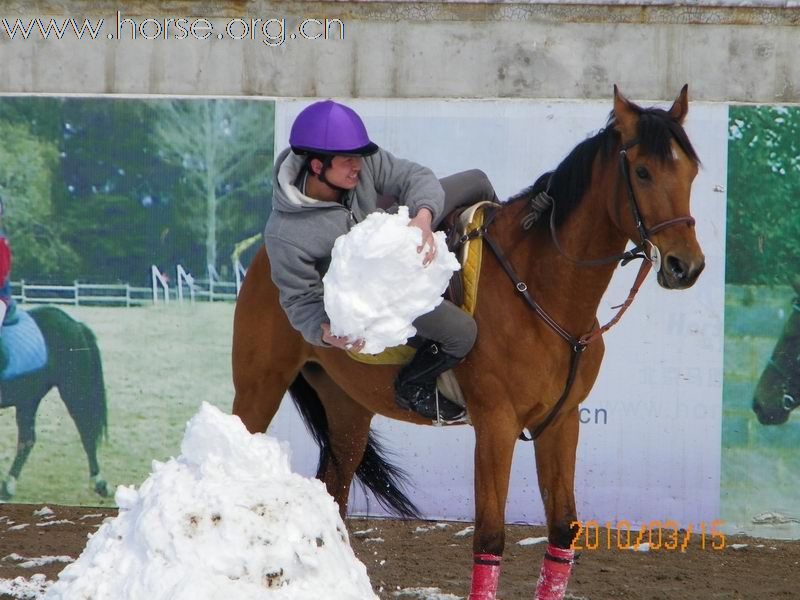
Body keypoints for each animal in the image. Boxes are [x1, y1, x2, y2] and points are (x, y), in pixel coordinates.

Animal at [0, 308, 108, 500]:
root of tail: (75, 324)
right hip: (28, 398)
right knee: (27, 439)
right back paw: (8, 487)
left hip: (73, 391)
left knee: (86, 433)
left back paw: (99, 482)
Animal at [233, 85, 708, 600]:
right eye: (642, 171)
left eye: (690, 171)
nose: (686, 266)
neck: (541, 290)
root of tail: (261, 258)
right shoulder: (496, 425)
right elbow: (490, 537)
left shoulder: (561, 422)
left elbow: (563, 530)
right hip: (259, 388)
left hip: (347, 409)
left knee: (333, 496)